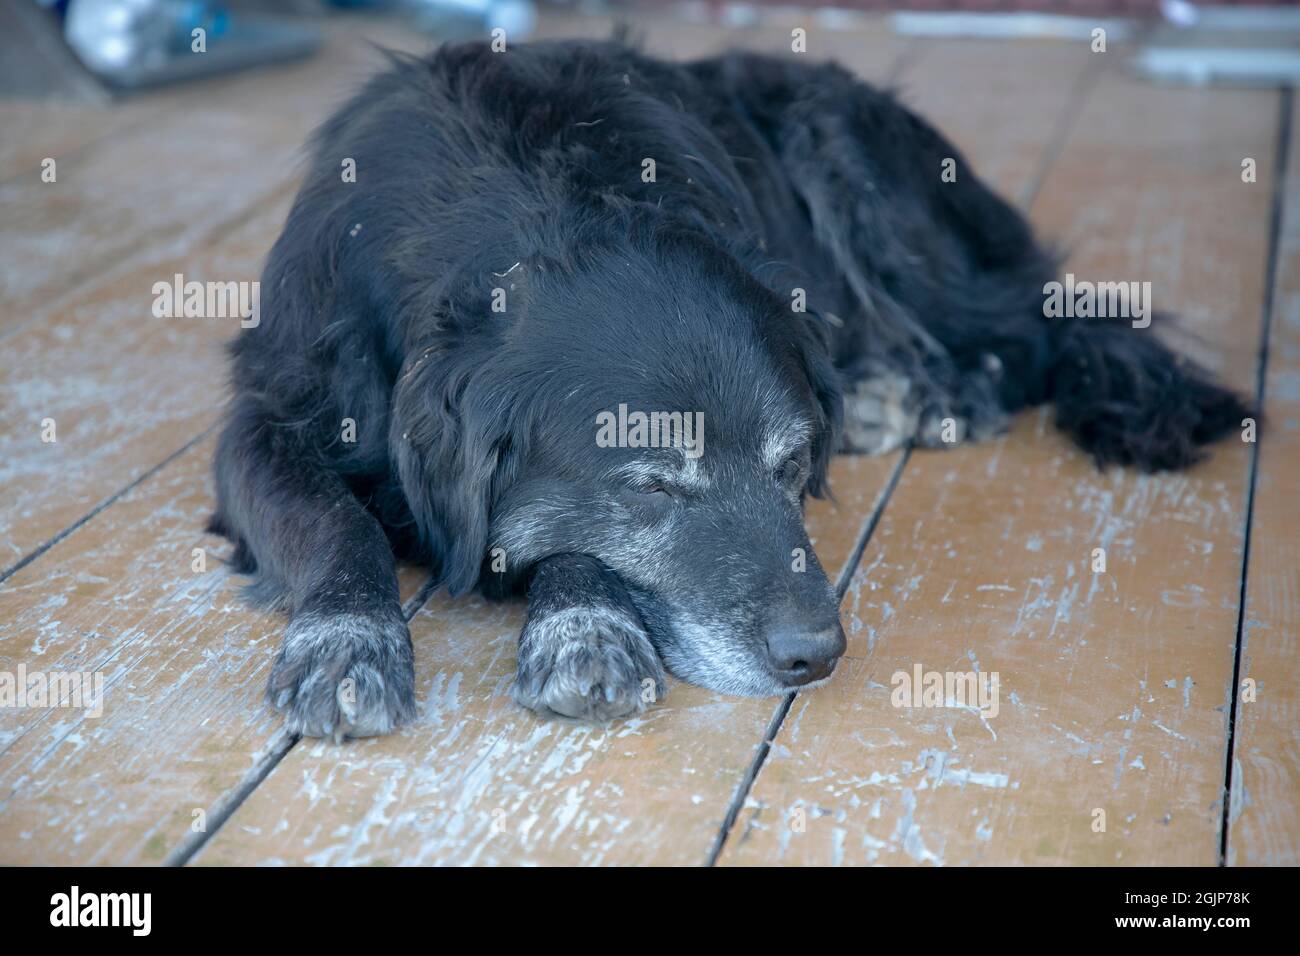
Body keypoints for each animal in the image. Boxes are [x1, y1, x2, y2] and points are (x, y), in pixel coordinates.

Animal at [210, 39, 1248, 738]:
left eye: (793, 467)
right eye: (650, 487)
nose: (816, 656)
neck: (524, 185)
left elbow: (570, 545)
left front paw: (584, 622)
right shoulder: (263, 418)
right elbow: (333, 520)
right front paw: (346, 641)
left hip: (852, 162)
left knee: (1032, 333)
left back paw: (933, 393)